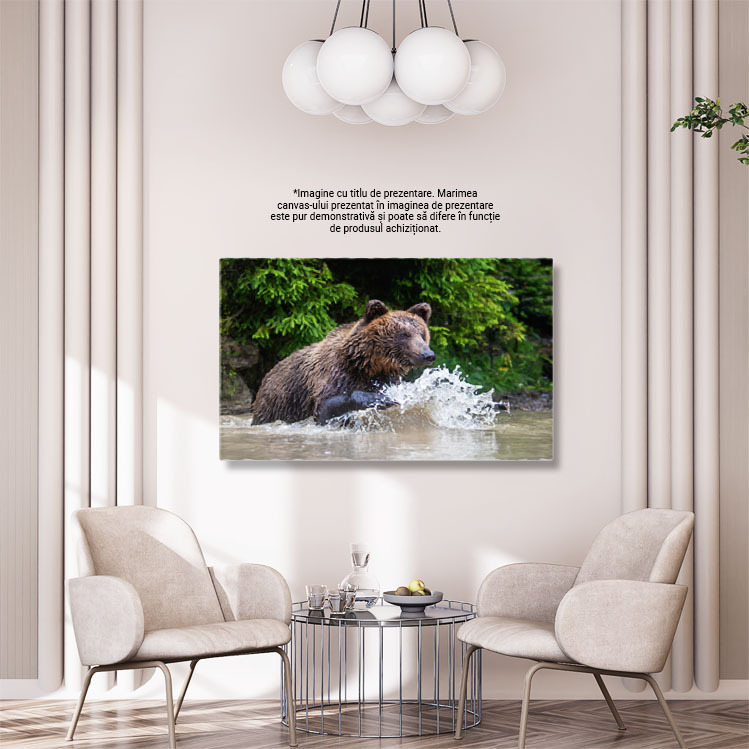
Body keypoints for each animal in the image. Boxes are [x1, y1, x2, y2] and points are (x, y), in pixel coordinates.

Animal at [251, 300, 434, 425]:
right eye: (404, 334)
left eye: (422, 333)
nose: (428, 354)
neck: (369, 365)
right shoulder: (334, 374)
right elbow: (325, 406)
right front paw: (380, 399)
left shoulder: (387, 378)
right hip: (277, 403)